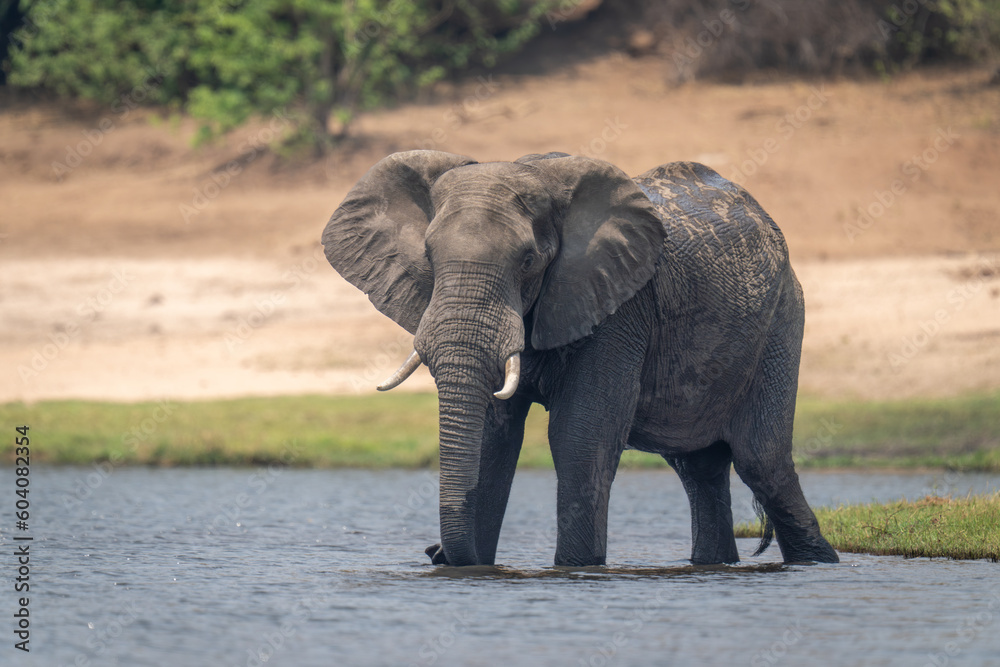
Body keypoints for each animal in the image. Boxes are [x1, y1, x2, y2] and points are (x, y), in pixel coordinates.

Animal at [321, 149, 839, 567]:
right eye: (428, 257)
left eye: (528, 261)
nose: (434, 552)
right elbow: (494, 434)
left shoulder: (619, 304)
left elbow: (580, 434)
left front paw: (576, 568)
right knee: (699, 468)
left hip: (781, 321)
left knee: (761, 461)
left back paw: (819, 563)